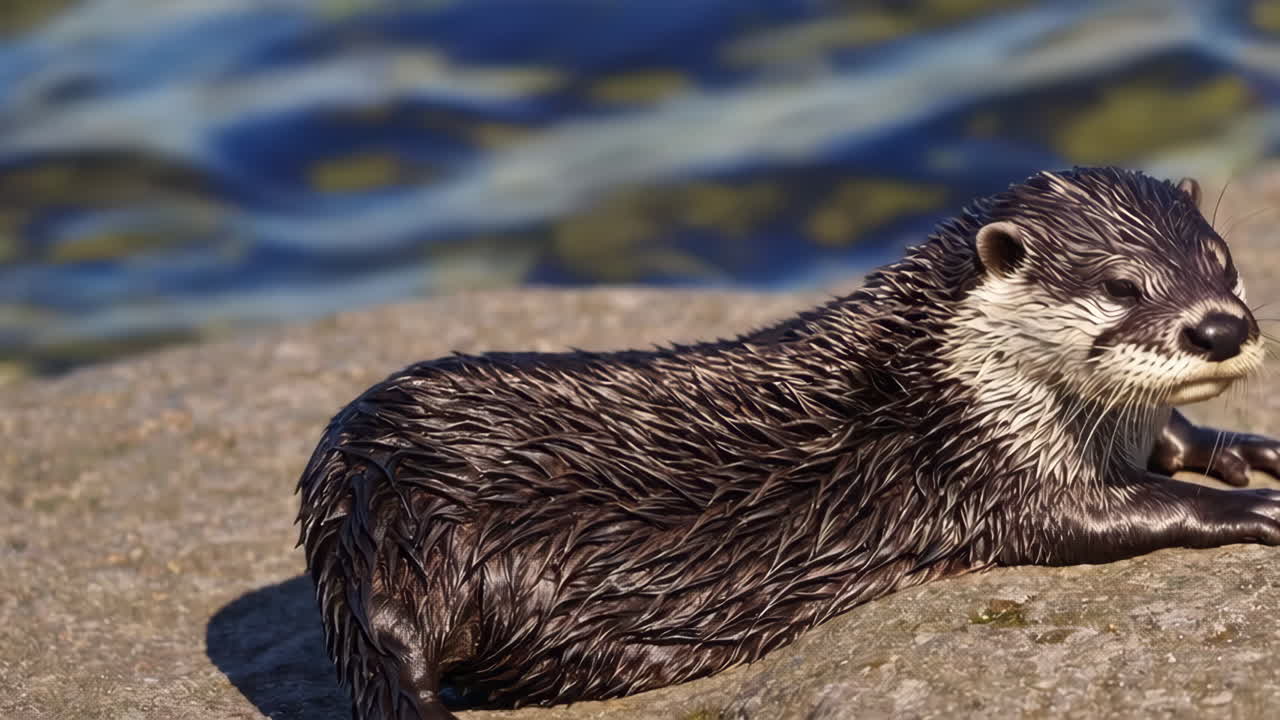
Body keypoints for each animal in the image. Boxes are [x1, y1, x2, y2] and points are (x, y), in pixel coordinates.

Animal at [297, 167, 1280, 720]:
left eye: (1224, 262)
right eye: (1121, 285)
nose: (1220, 327)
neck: (944, 381)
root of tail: (351, 509)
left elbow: (1173, 441)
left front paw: (1245, 450)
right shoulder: (989, 465)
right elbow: (1111, 515)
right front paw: (1247, 504)